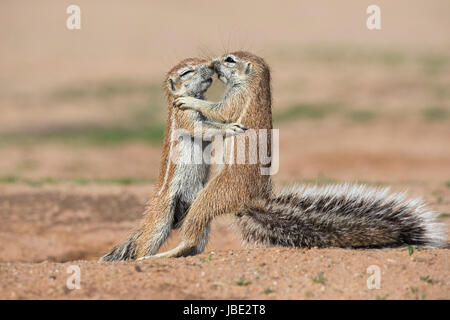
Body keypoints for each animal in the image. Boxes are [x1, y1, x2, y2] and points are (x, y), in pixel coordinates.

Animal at [101, 58, 246, 262]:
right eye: (186, 72)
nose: (211, 65)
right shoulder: (185, 117)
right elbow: (204, 128)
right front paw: (230, 127)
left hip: (196, 206)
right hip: (161, 218)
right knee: (146, 242)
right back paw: (145, 257)